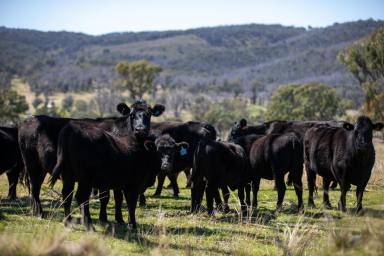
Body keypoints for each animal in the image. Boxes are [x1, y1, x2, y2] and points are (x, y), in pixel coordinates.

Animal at [49, 101, 164, 231]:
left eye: (149, 114)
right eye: (132, 115)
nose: (141, 129)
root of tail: (70, 128)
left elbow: (116, 199)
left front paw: (118, 220)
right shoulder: (132, 185)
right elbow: (130, 203)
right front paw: (132, 224)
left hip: (68, 175)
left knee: (67, 195)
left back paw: (68, 222)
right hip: (85, 179)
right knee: (81, 197)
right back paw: (89, 225)